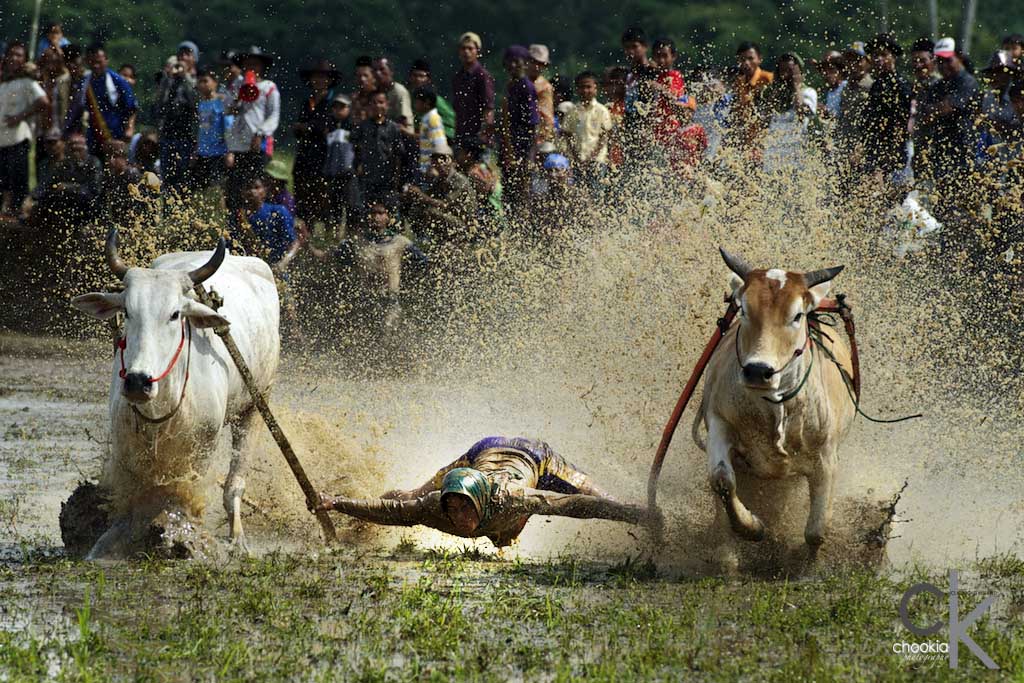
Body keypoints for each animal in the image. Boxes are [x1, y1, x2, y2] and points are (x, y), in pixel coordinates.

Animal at [70, 229, 280, 561]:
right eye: (127, 311)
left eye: (174, 314)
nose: (138, 381)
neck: (161, 406)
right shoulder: (125, 444)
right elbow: (131, 499)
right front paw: (107, 545)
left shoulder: (202, 448)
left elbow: (182, 495)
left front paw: (181, 535)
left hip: (257, 404)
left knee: (234, 484)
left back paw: (238, 540)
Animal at [696, 248, 856, 569]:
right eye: (744, 310)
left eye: (797, 315)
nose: (758, 371)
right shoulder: (718, 420)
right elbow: (721, 480)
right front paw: (752, 527)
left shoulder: (826, 456)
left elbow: (817, 530)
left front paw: (805, 565)